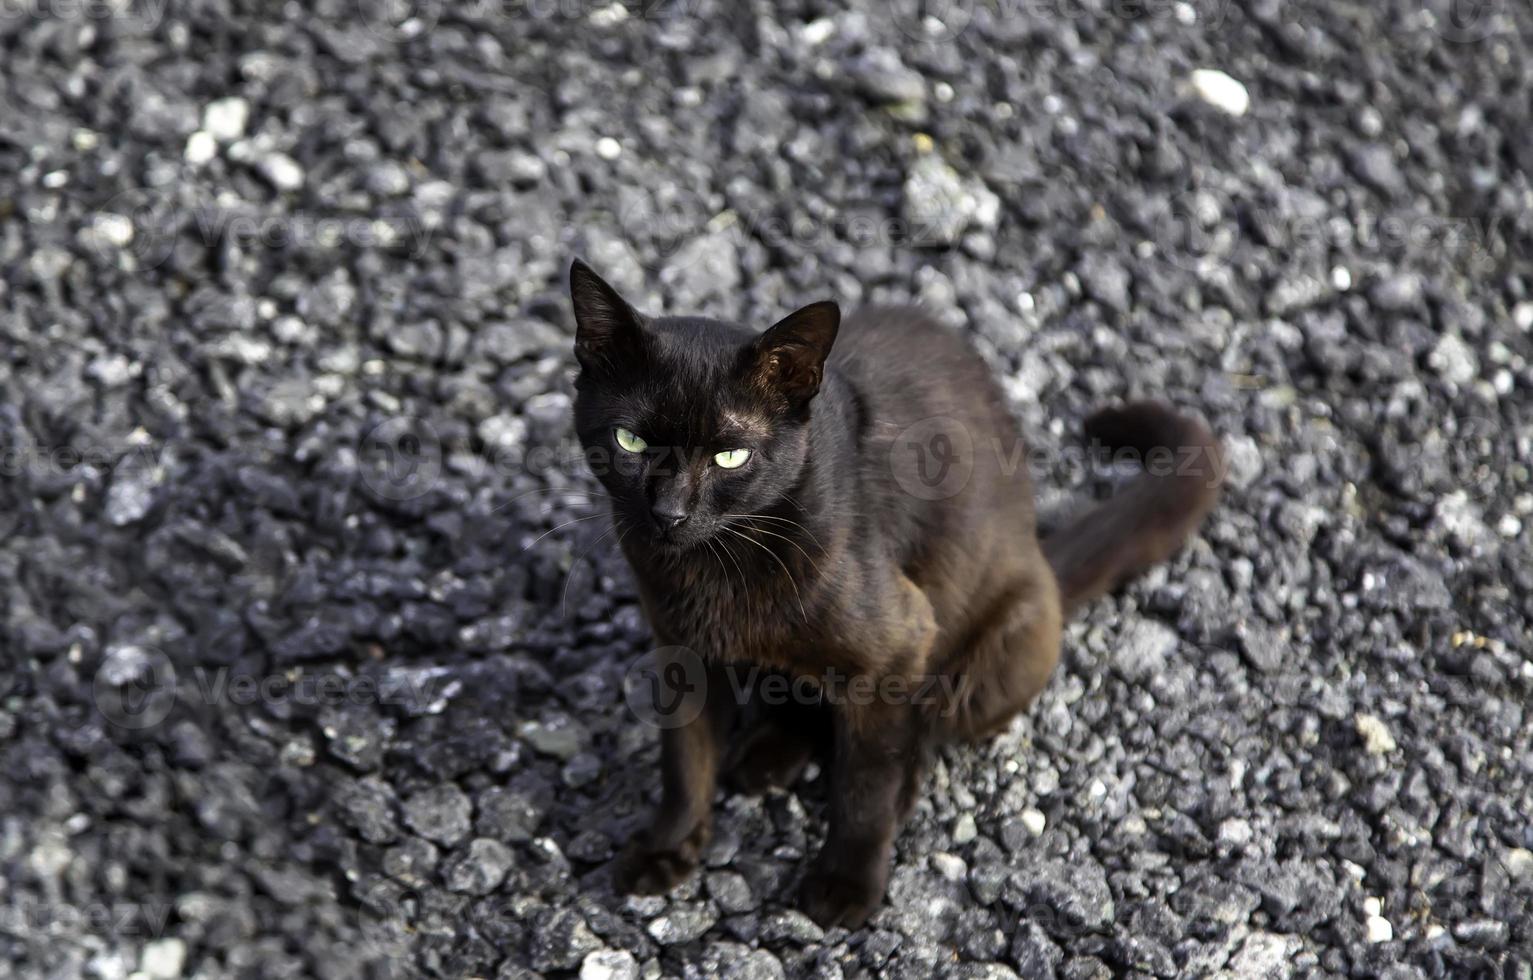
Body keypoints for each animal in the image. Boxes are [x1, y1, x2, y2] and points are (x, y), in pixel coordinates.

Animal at [564, 259, 1220, 926]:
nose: (669, 512)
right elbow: (684, 760)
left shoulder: (897, 646)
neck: (713, 567)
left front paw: (846, 884)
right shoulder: (680, 648)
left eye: (730, 456)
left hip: (981, 661)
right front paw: (667, 849)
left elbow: (866, 781)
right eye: (630, 442)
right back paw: (767, 753)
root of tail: (1041, 560)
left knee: (920, 730)